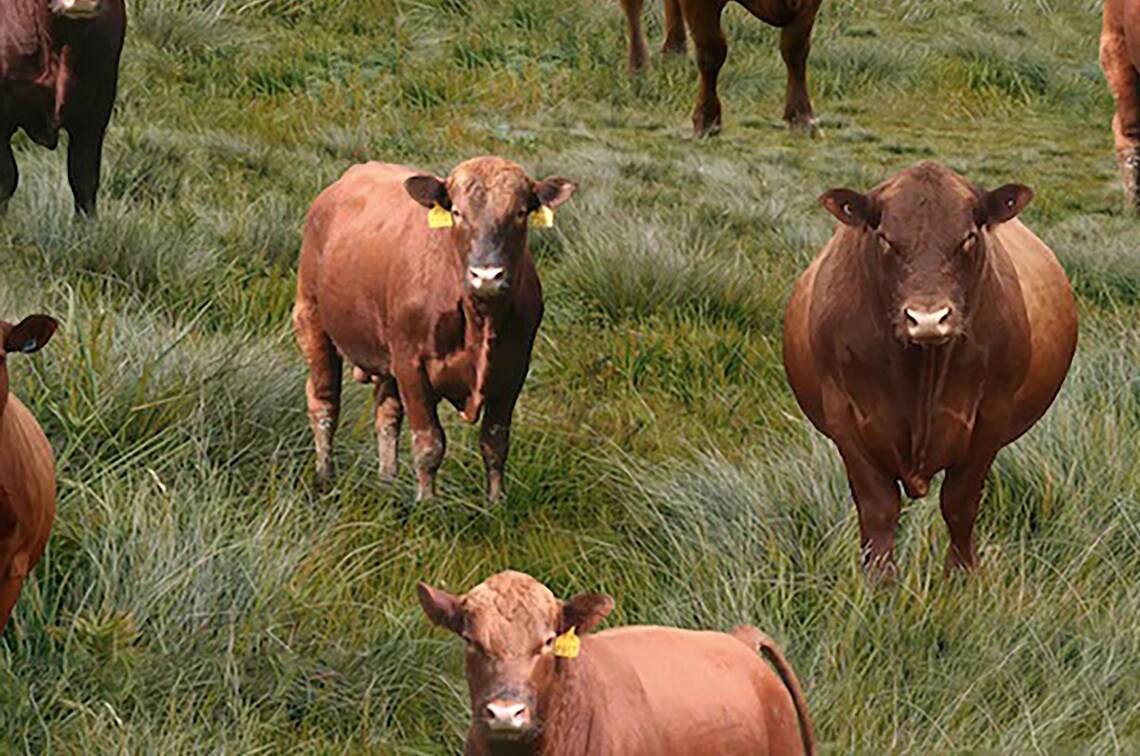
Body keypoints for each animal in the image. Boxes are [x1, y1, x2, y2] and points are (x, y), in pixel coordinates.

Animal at [294, 157, 574, 502]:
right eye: (456, 212)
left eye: (520, 212)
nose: (487, 275)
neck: (480, 322)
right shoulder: (411, 365)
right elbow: (429, 443)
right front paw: (426, 503)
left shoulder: (513, 370)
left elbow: (495, 443)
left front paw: (496, 502)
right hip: (312, 320)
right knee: (324, 403)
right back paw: (325, 476)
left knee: (387, 415)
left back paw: (387, 480)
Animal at [619, 0, 823, 136]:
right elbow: (712, 52)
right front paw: (707, 119)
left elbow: (795, 50)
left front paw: (801, 116)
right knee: (633, 8)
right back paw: (638, 68)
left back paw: (674, 53)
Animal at [783, 162, 1077, 580]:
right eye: (886, 239)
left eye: (968, 237)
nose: (927, 318)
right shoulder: (844, 419)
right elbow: (878, 511)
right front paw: (879, 584)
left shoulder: (991, 419)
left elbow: (959, 505)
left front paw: (963, 578)